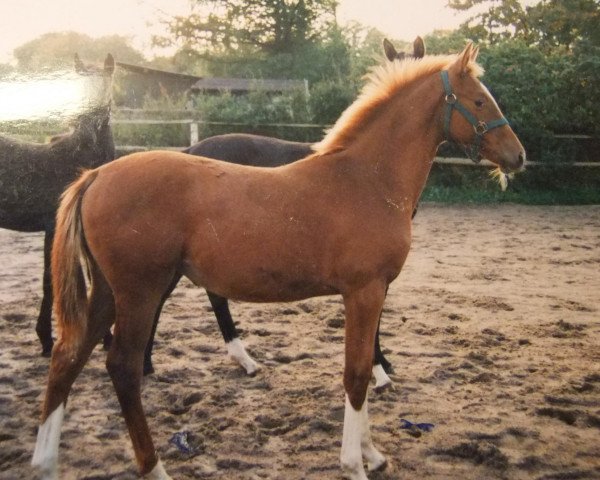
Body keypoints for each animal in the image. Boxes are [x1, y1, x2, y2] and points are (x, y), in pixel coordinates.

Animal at [0, 55, 115, 356]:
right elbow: (50, 280)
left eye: (105, 90)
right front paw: (45, 339)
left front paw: (105, 336)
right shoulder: (53, 228)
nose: (86, 132)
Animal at [32, 45, 524, 480]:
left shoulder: (373, 292)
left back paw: (45, 462)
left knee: (67, 357)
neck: (366, 179)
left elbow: (364, 368)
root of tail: (95, 175)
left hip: (109, 292)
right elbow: (357, 375)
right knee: (122, 368)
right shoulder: (364, 292)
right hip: (140, 292)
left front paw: (373, 454)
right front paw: (355, 464)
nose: (518, 156)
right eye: (479, 100)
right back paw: (155, 467)